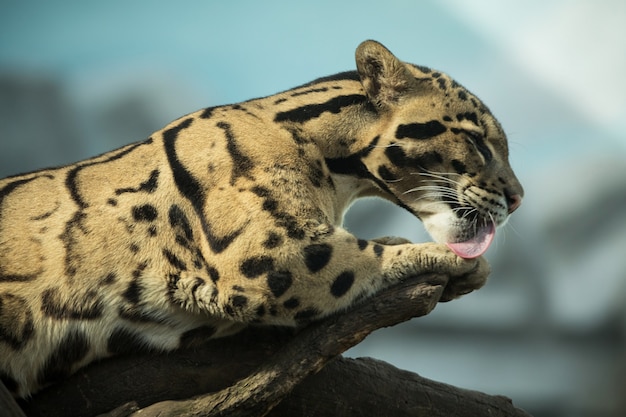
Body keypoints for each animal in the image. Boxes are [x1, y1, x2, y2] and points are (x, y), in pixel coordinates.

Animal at [0, 39, 520, 396]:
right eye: (477, 141)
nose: (517, 198)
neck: (337, 175)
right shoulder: (271, 254)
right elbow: (366, 256)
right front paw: (452, 261)